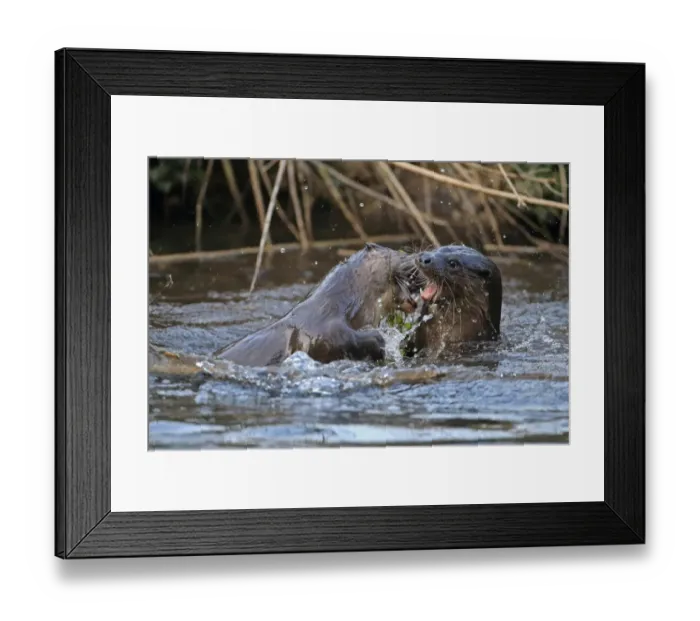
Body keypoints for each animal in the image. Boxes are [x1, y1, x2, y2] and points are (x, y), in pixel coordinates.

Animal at [214, 243, 416, 367]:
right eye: (403, 254)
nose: (420, 258)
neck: (333, 304)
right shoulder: (322, 330)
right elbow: (341, 338)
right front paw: (379, 342)